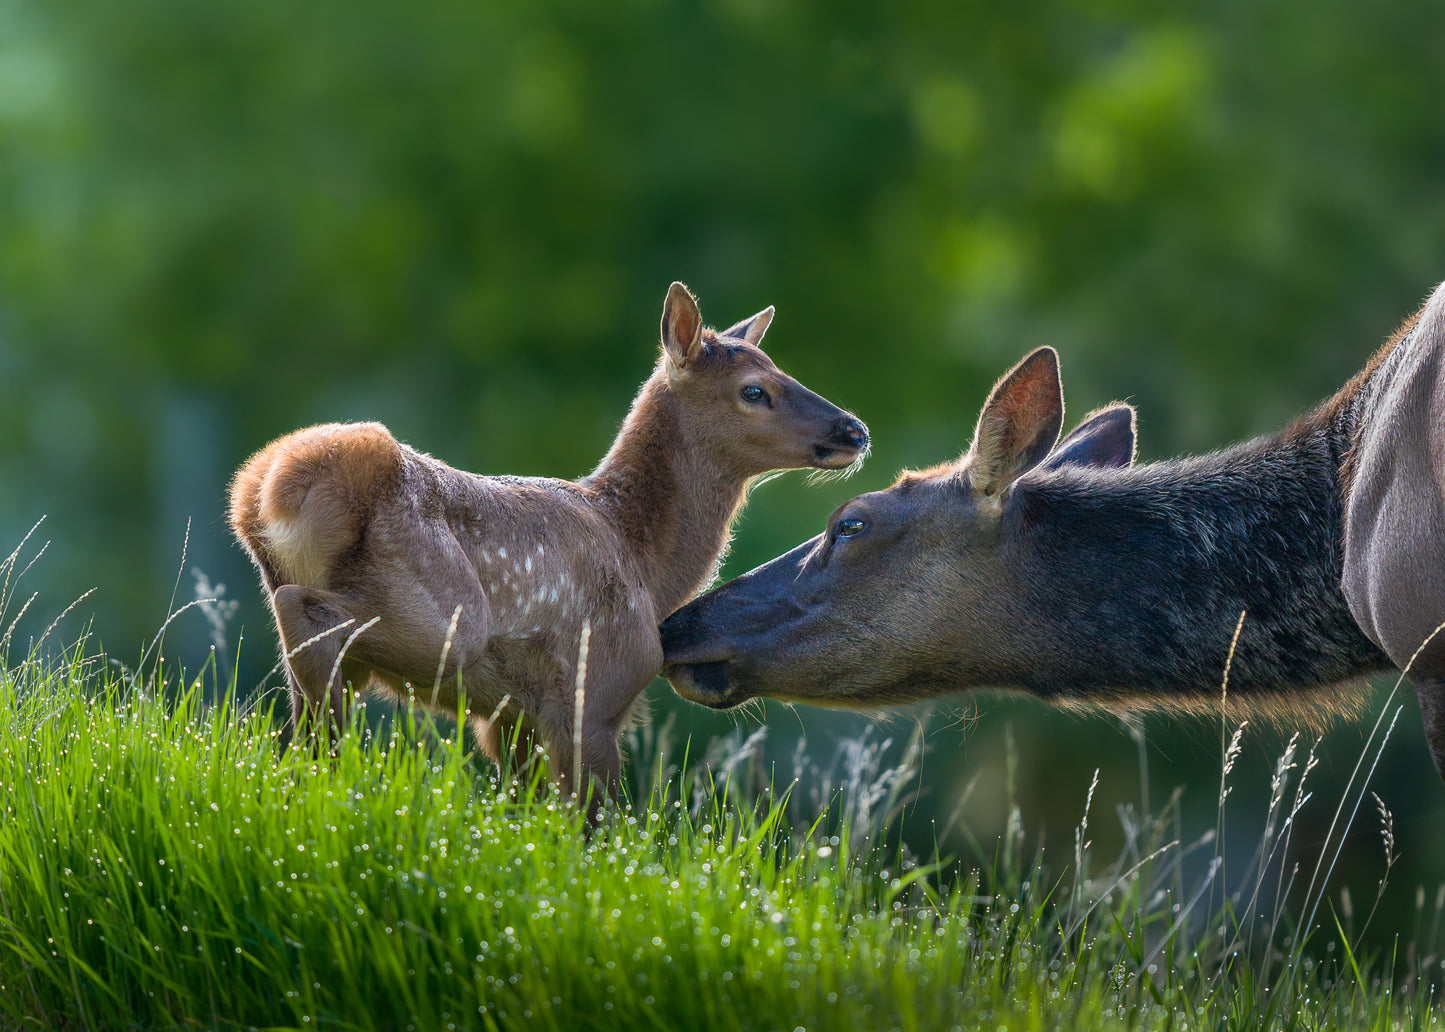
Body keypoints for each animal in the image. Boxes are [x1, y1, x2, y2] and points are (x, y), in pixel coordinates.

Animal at [232, 283, 867, 803]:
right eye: (754, 390)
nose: (854, 429)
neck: (644, 561)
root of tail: (271, 486)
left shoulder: (511, 718)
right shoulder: (595, 694)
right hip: (444, 617)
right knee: (308, 619)